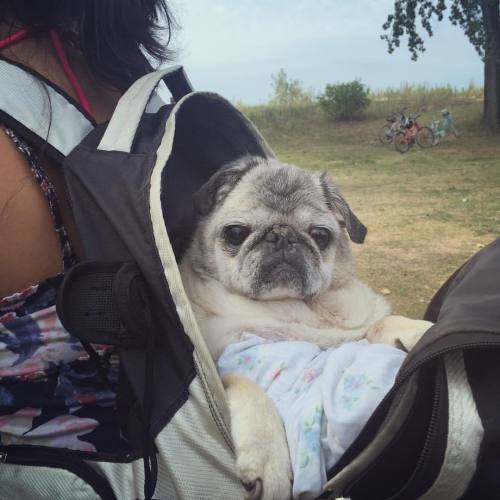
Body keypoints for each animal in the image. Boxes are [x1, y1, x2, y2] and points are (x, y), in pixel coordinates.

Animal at [178, 156, 432, 500]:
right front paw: (269, 457)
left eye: (320, 235)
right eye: (236, 233)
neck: (291, 310)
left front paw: (416, 329)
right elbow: (244, 383)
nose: (283, 236)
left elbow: (380, 322)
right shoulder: (215, 361)